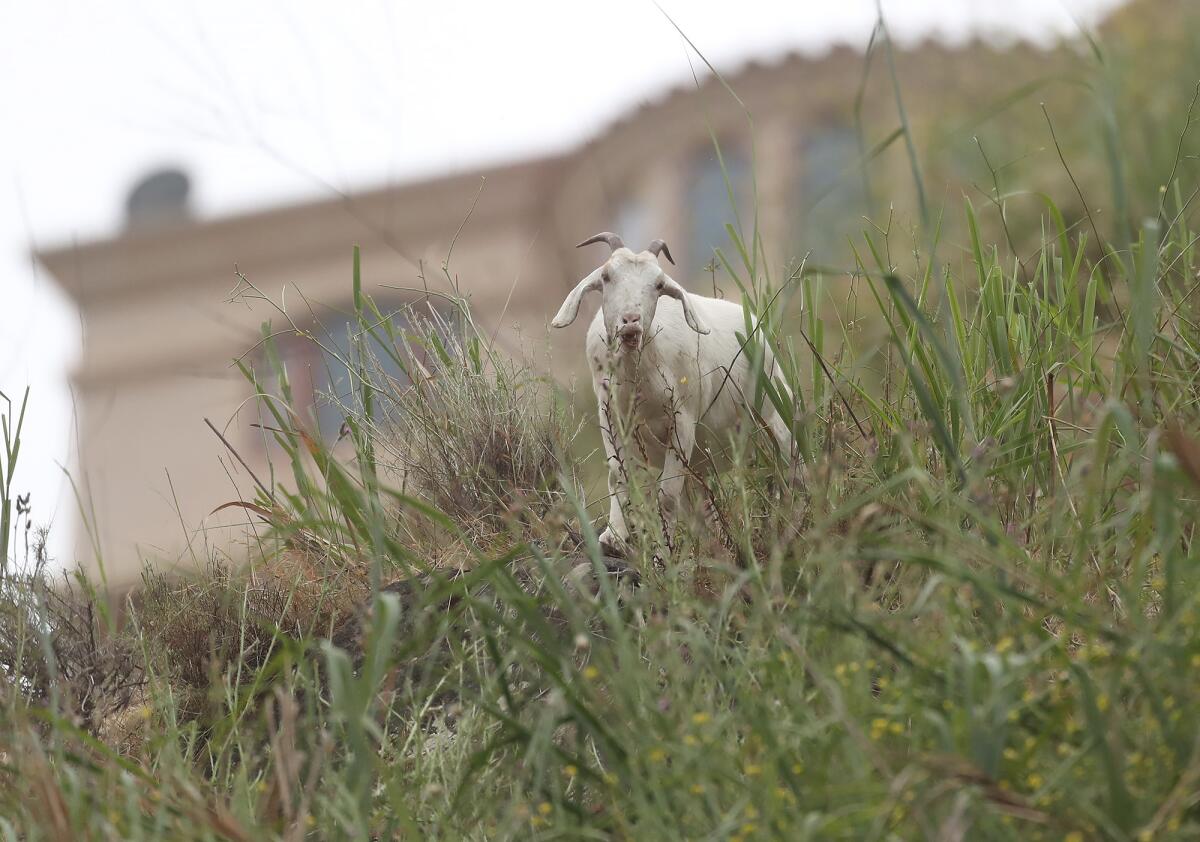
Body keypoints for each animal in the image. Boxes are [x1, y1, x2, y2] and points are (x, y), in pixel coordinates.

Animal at [552, 229, 796, 554]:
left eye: (658, 285)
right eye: (606, 276)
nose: (630, 322)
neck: (638, 382)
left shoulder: (682, 423)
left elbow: (667, 497)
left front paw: (662, 551)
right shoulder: (611, 418)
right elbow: (618, 475)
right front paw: (614, 537)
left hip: (773, 410)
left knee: (788, 462)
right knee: (704, 504)